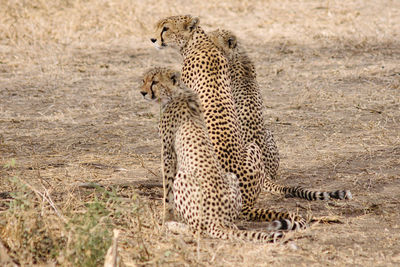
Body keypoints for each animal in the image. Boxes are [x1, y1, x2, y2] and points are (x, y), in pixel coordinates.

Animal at [139, 67, 282, 243]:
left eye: (155, 82)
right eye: (143, 80)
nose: (142, 92)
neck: (175, 93)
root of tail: (217, 220)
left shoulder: (168, 153)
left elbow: (167, 188)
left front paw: (166, 215)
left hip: (184, 178)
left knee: (197, 230)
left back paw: (174, 226)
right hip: (231, 178)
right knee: (229, 226)